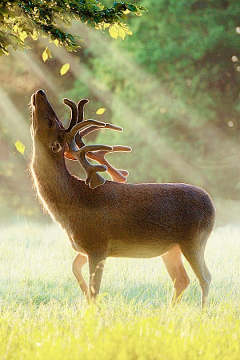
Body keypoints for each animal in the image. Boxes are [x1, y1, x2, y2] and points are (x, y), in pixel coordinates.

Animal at [30, 88, 216, 308]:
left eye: (52, 121)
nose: (40, 92)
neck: (71, 205)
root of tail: (212, 205)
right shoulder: (85, 247)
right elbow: (75, 269)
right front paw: (86, 300)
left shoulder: (97, 244)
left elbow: (95, 289)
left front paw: (93, 309)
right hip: (172, 248)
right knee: (181, 279)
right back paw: (170, 312)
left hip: (194, 240)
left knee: (205, 277)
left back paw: (202, 312)